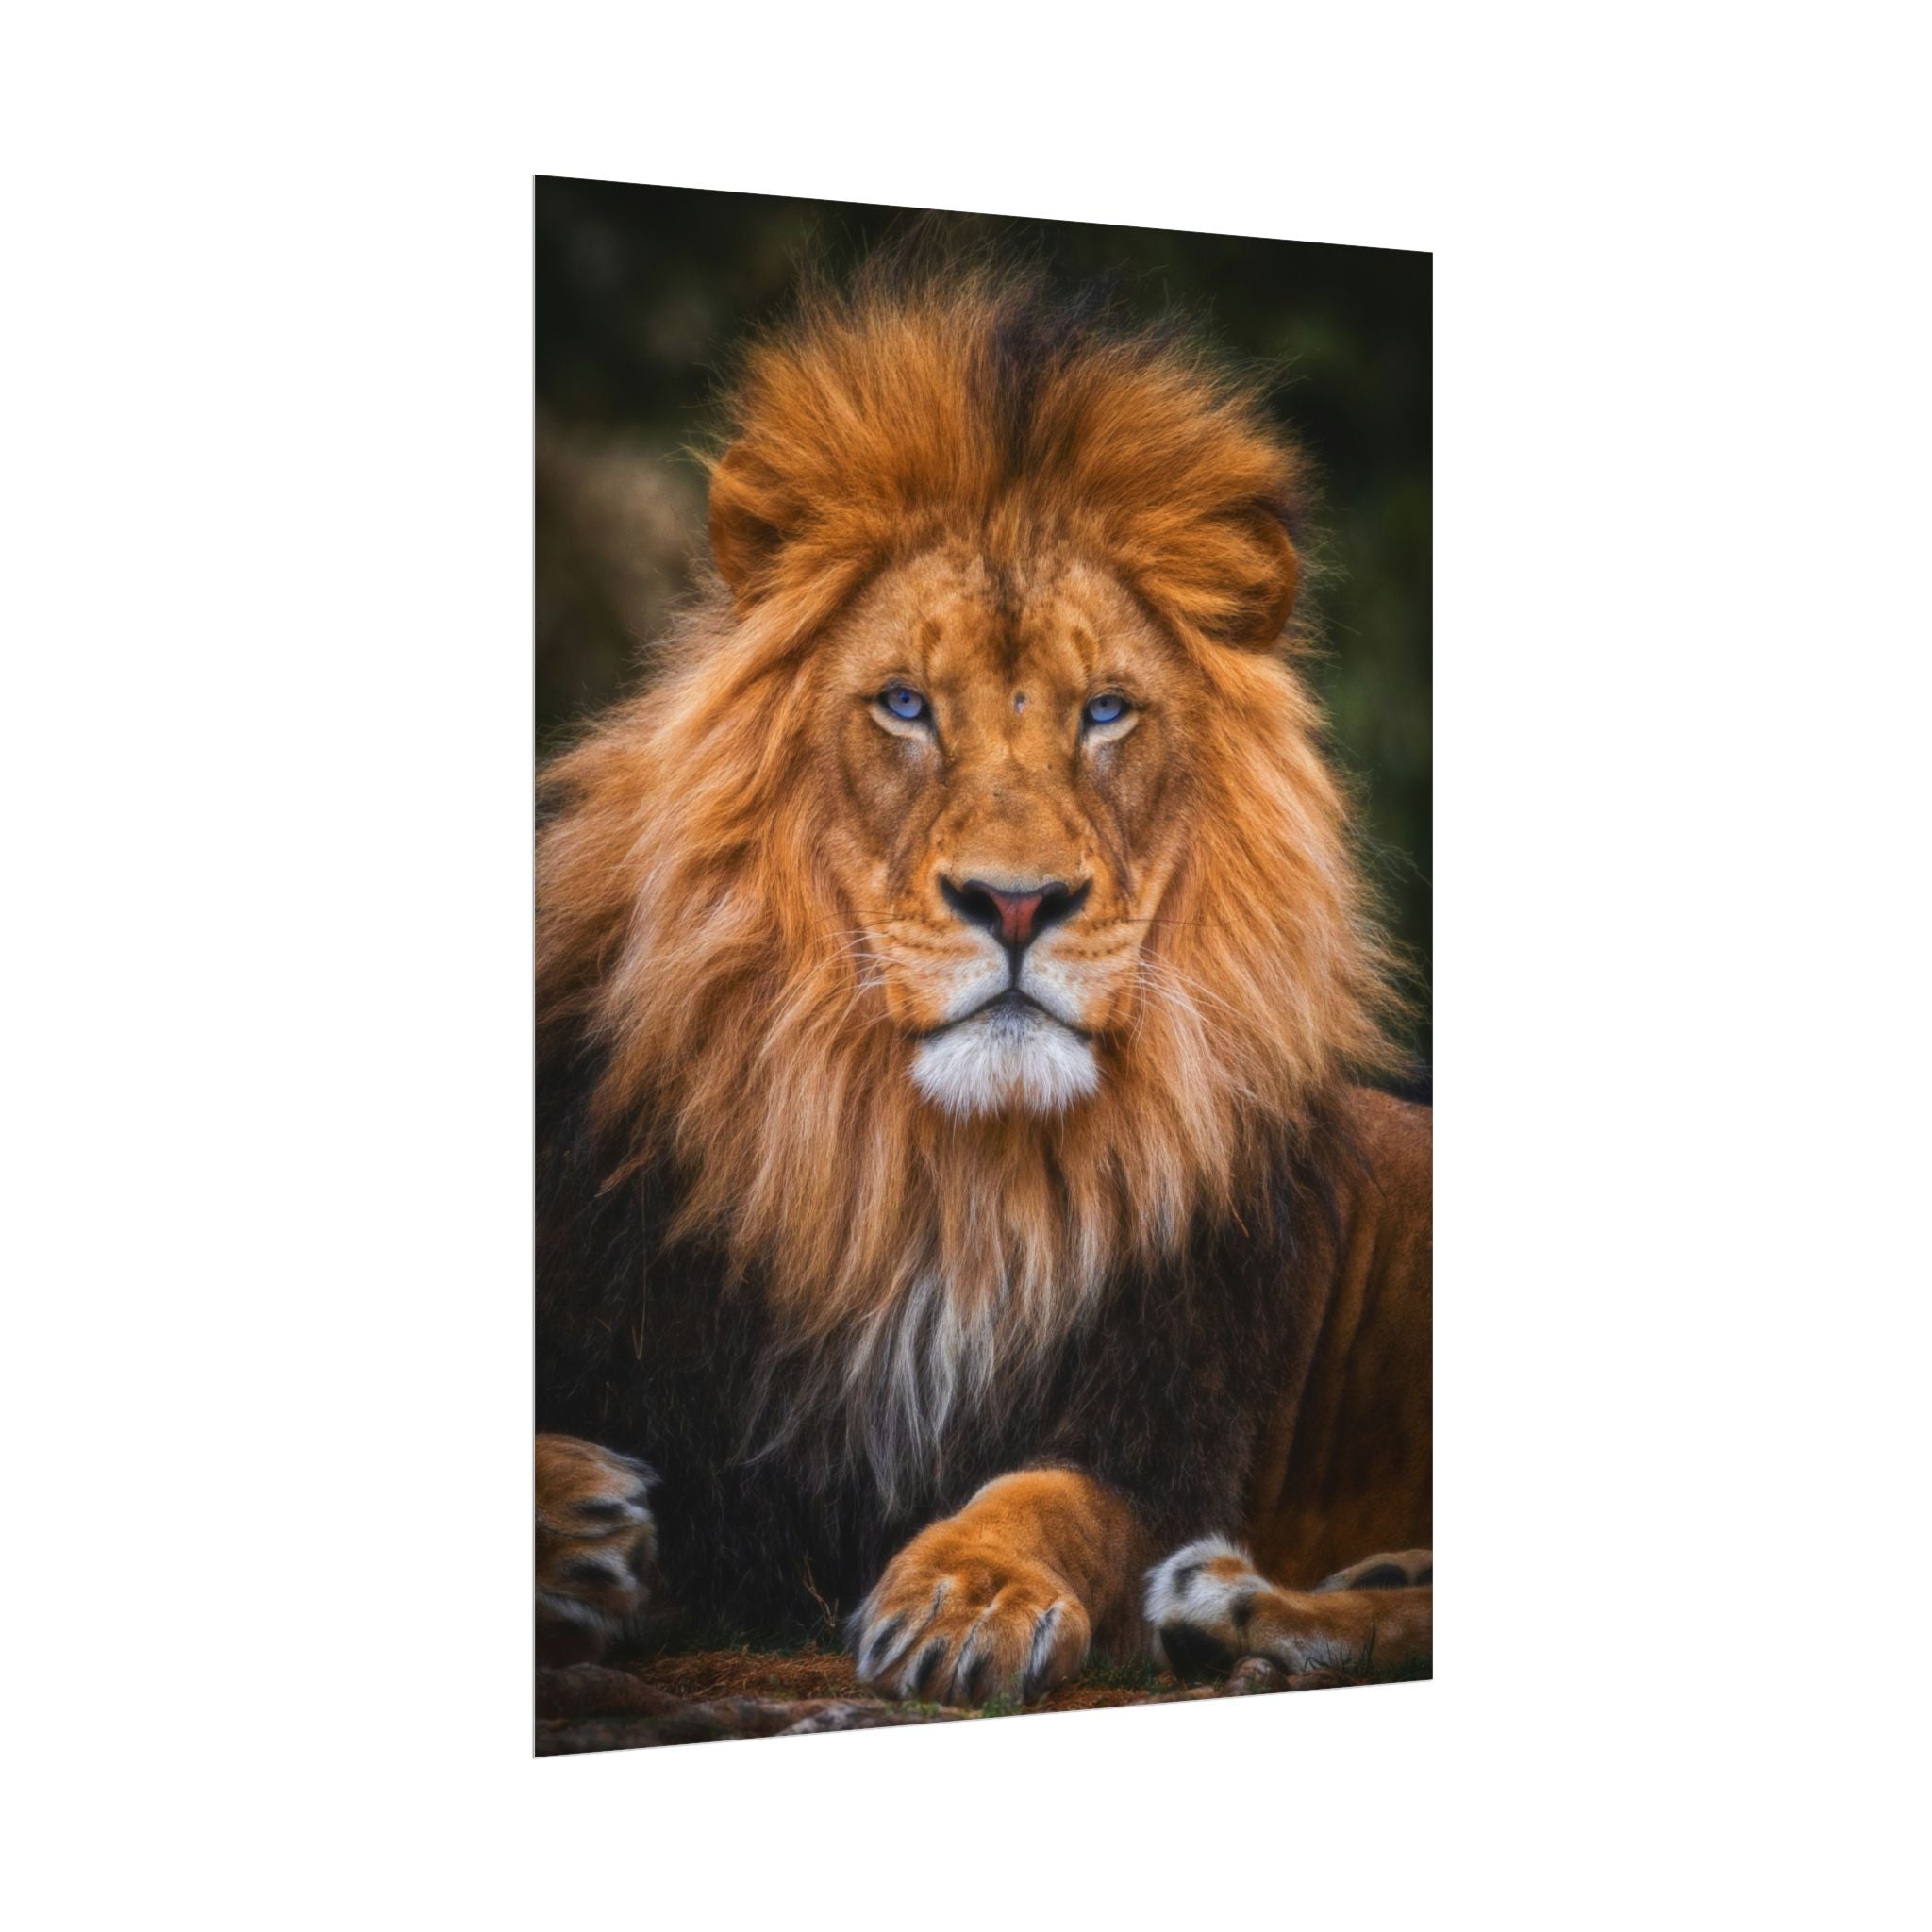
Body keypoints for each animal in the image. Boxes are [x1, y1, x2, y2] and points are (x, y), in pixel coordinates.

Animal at [534, 264, 1431, 1705]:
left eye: (1105, 711)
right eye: (904, 704)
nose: (1016, 903)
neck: (939, 1182)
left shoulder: (1164, 1428)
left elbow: (1052, 1496)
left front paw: (968, 1593)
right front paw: (577, 1522)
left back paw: (1239, 1607)